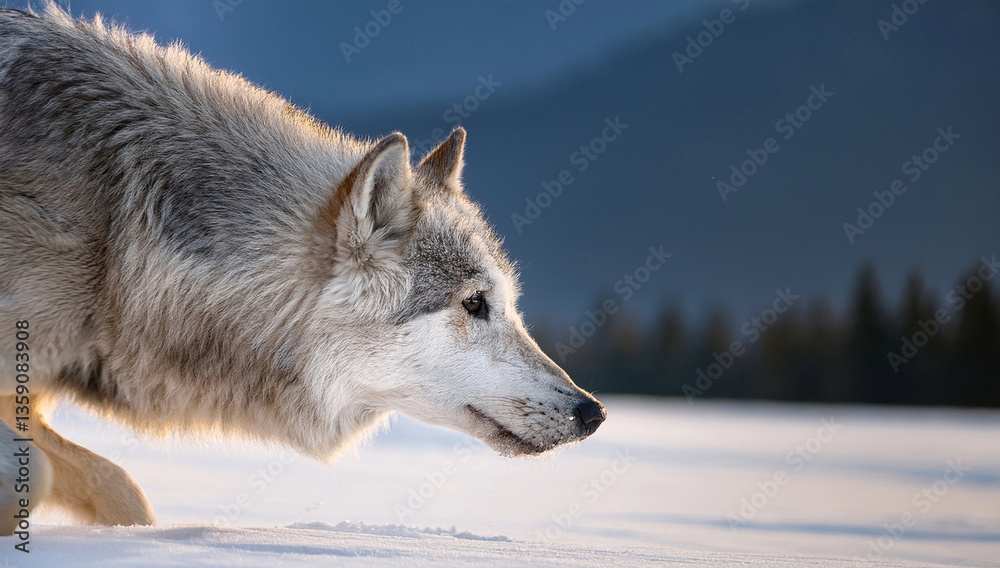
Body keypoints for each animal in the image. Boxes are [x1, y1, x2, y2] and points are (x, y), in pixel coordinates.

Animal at [0, 5, 605, 533]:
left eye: (509, 304)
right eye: (475, 303)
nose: (592, 412)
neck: (120, 234)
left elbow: (122, 494)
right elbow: (52, 475)